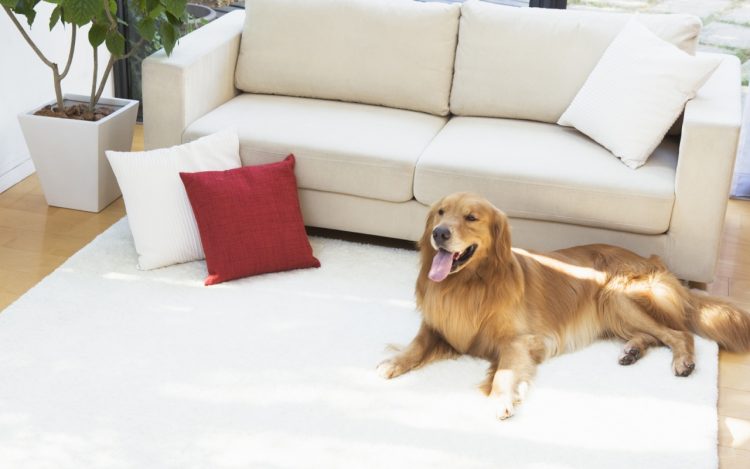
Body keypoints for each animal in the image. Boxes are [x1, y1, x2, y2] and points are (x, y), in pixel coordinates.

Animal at [382, 192, 750, 418]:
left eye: (471, 217)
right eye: (440, 212)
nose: (439, 233)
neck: (468, 285)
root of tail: (654, 260)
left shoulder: (519, 341)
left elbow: (504, 372)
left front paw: (501, 399)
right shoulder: (438, 325)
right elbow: (417, 344)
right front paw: (394, 362)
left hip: (613, 295)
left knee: (678, 334)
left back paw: (682, 361)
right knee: (656, 335)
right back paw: (632, 350)